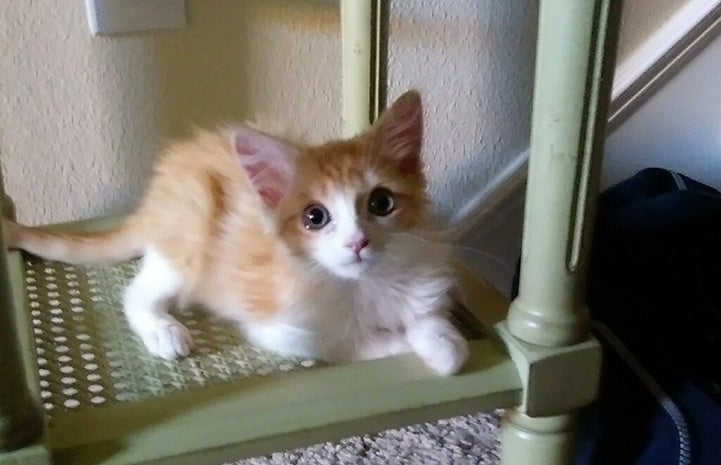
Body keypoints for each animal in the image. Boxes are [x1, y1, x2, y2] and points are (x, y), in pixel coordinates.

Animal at [2, 92, 470, 376]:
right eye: (315, 217)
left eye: (381, 204)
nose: (358, 242)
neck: (363, 286)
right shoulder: (279, 326)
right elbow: (350, 343)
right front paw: (405, 343)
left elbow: (429, 317)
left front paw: (443, 341)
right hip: (189, 229)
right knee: (135, 293)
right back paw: (164, 330)